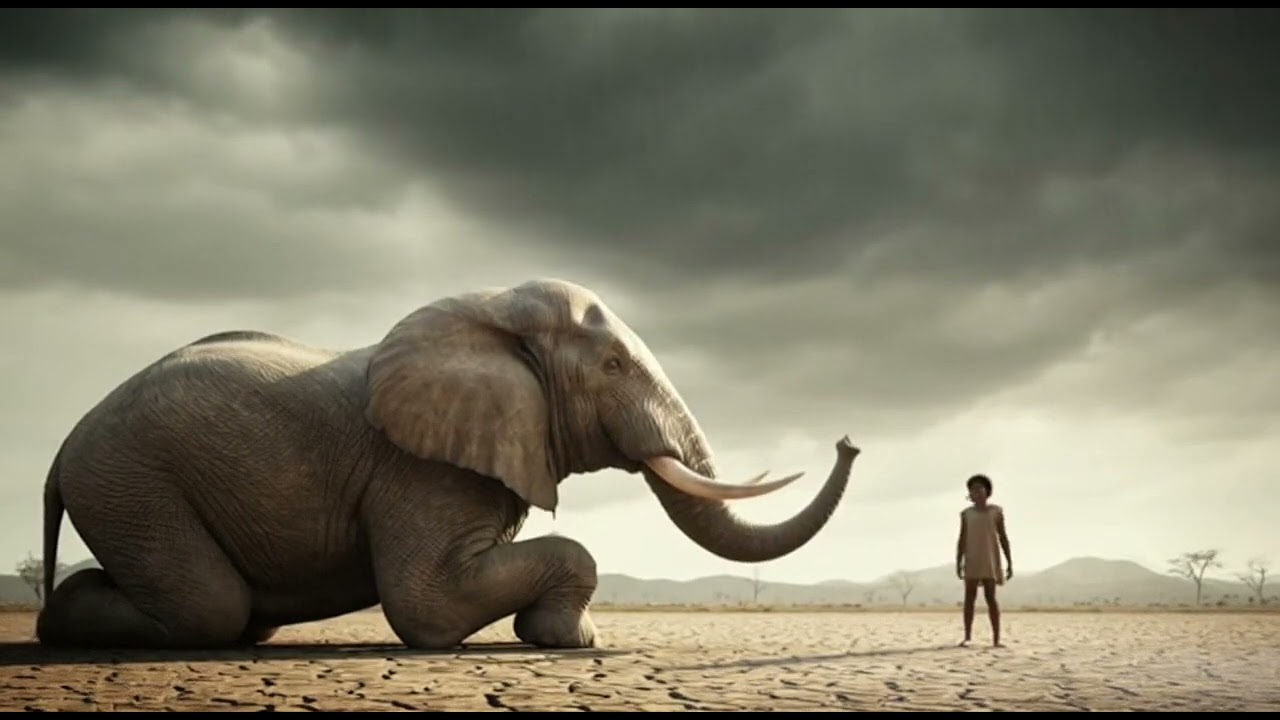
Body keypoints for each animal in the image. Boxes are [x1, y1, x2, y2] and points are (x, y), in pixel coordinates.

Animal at [34, 278, 861, 650]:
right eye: (615, 366)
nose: (848, 441)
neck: (495, 313)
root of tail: (63, 448)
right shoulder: (418, 466)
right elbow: (424, 606)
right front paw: (572, 640)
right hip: (131, 480)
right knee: (212, 606)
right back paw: (59, 626)